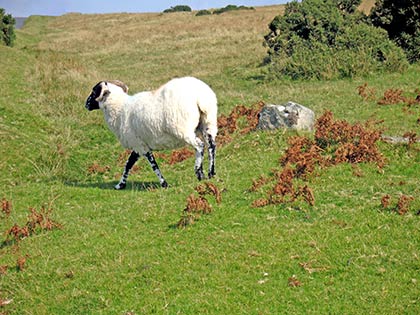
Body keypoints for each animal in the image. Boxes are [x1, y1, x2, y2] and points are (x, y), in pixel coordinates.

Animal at [84, 76, 218, 190]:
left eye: (94, 92)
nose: (86, 104)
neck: (119, 109)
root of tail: (200, 97)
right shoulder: (138, 144)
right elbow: (128, 164)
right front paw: (120, 185)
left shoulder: (140, 145)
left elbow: (153, 165)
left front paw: (164, 183)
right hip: (208, 123)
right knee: (211, 146)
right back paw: (210, 173)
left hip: (183, 129)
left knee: (199, 146)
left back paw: (198, 172)